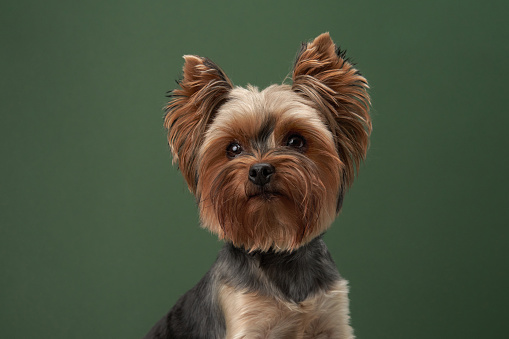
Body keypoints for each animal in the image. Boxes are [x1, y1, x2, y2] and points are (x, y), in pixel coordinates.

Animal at [145, 32, 372, 339]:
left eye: (296, 141)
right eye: (233, 148)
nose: (260, 170)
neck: (276, 245)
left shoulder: (331, 320)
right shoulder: (246, 317)